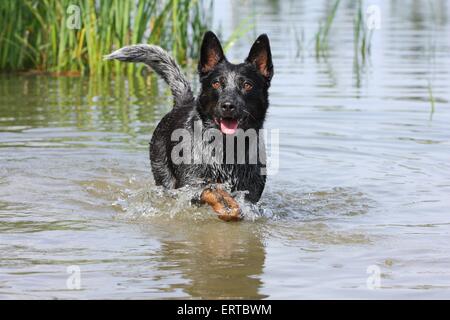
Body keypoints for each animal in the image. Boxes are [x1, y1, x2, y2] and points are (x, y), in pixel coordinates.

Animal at [106, 31, 274, 221]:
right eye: (216, 83)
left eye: (247, 85)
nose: (228, 105)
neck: (226, 150)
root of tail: (182, 103)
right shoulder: (189, 186)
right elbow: (211, 191)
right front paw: (225, 205)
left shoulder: (250, 195)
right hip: (164, 176)